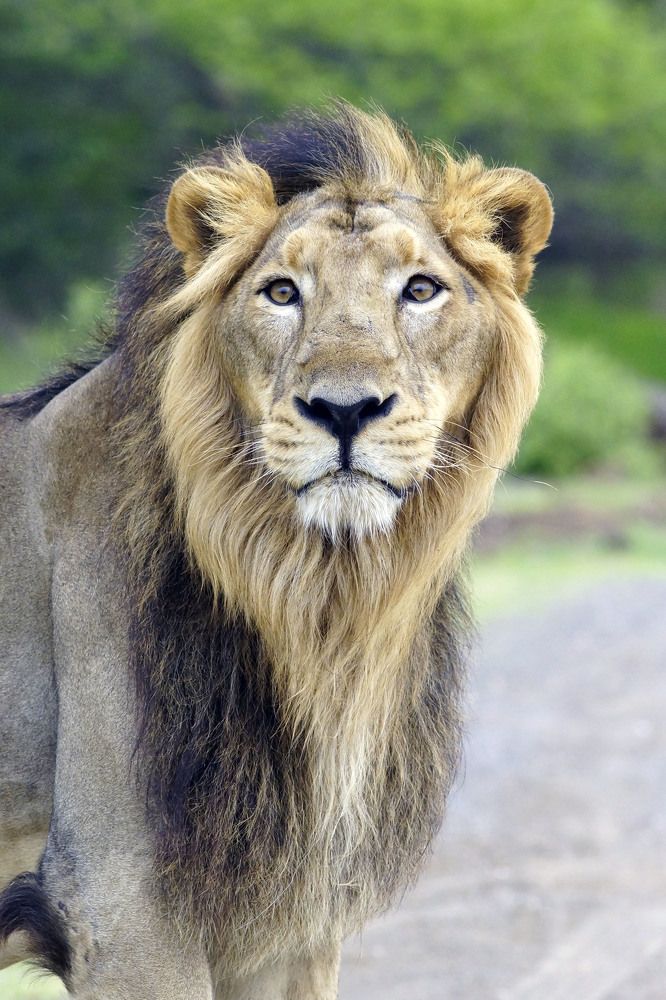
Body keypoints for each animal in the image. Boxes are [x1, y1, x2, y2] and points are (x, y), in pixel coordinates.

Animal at [0, 104, 552, 998]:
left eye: (420, 289)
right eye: (283, 292)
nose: (345, 408)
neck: (317, 611)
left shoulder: (287, 922)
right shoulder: (121, 904)